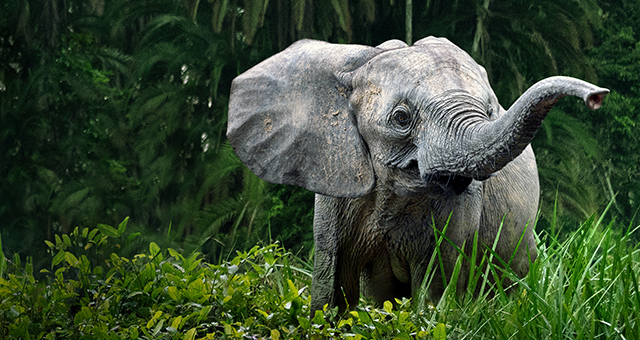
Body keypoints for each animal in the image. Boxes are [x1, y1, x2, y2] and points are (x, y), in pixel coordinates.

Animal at [226, 36, 608, 314]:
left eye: (490, 111)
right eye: (401, 118)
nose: (597, 96)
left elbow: (435, 285)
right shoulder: (336, 180)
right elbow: (333, 284)